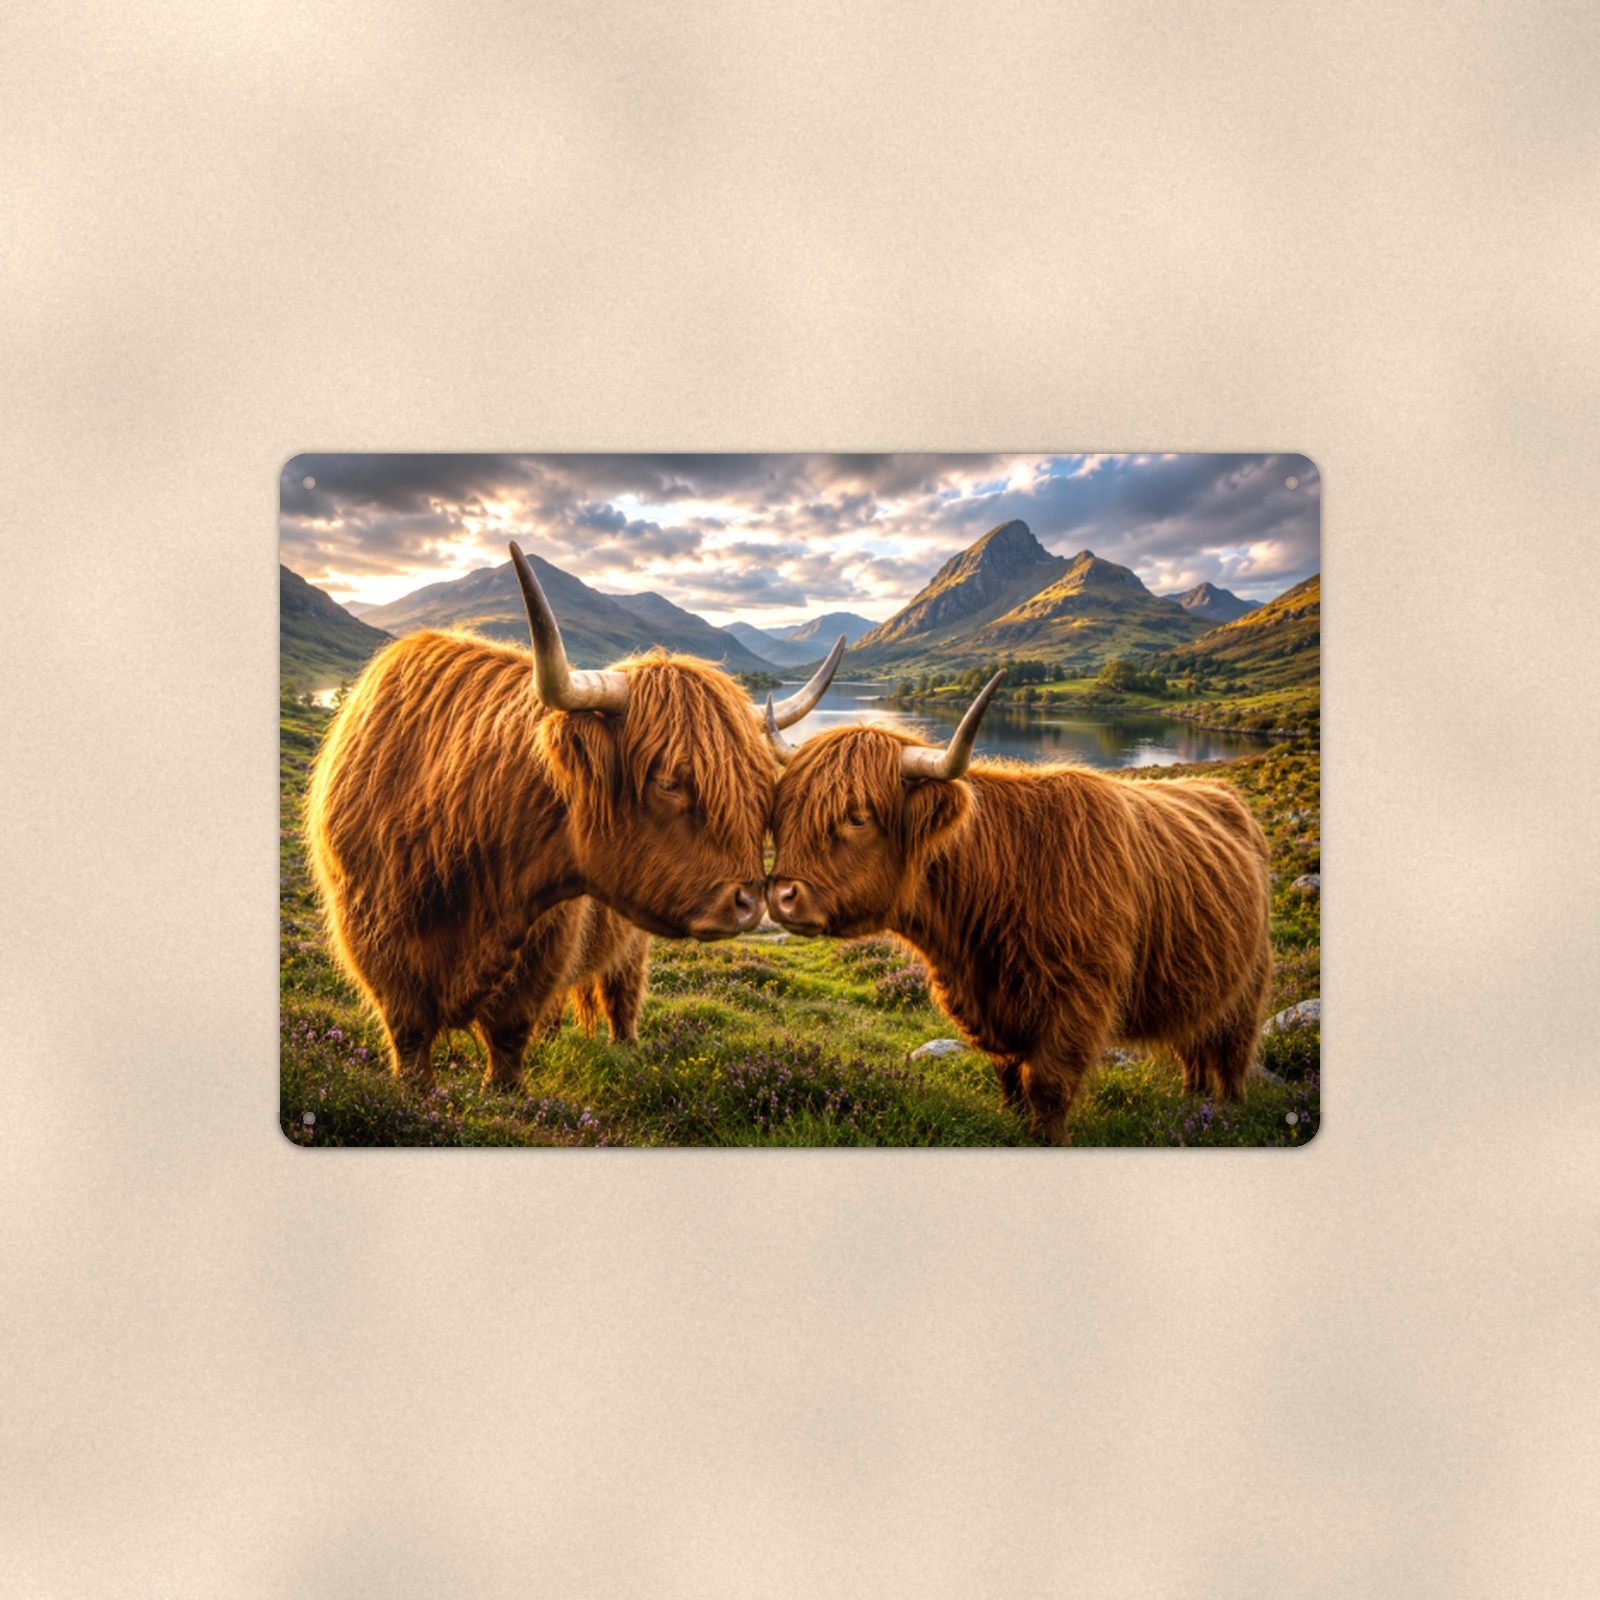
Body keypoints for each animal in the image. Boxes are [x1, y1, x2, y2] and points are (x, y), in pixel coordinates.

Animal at [305, 542, 843, 1091]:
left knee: (622, 993)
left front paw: (505, 1091)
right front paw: (415, 1090)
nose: (750, 903)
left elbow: (509, 1029)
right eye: (668, 782)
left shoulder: (545, 943)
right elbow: (410, 1033)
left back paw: (624, 1046)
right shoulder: (375, 942)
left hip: (630, 946)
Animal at [763, 675, 1272, 1143]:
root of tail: (1220, 790)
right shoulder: (984, 1004)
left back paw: (1227, 1112)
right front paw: (1012, 1123)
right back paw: (1192, 1099)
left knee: (1233, 1050)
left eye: (857, 817)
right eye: (784, 812)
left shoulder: (1080, 996)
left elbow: (1047, 1084)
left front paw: (1046, 1138)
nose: (780, 894)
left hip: (1248, 982)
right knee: (1195, 1045)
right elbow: (1008, 1074)